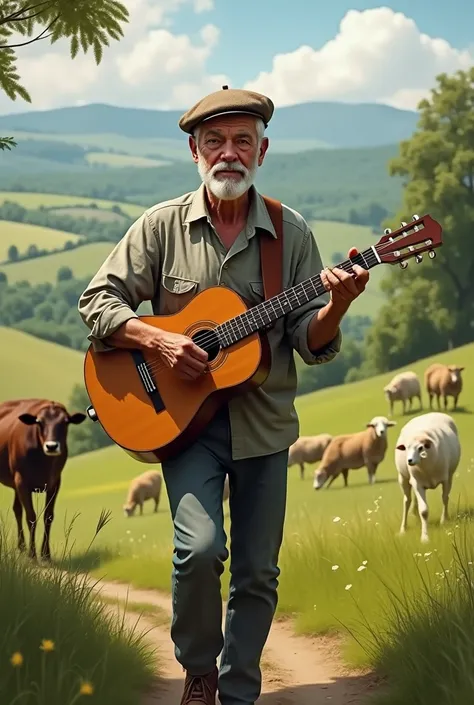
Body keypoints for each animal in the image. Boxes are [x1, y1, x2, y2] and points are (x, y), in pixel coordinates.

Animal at [0, 398, 86, 560]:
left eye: (65, 422)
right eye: (39, 422)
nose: (52, 446)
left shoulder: (55, 482)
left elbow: (48, 516)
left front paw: (46, 554)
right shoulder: (22, 482)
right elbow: (31, 517)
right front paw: (33, 555)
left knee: (17, 509)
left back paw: (21, 547)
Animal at [394, 410, 462, 540]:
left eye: (420, 448)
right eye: (406, 448)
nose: (409, 461)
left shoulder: (446, 479)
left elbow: (445, 498)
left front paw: (444, 520)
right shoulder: (417, 483)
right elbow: (424, 511)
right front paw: (425, 537)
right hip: (403, 477)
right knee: (407, 501)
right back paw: (403, 529)